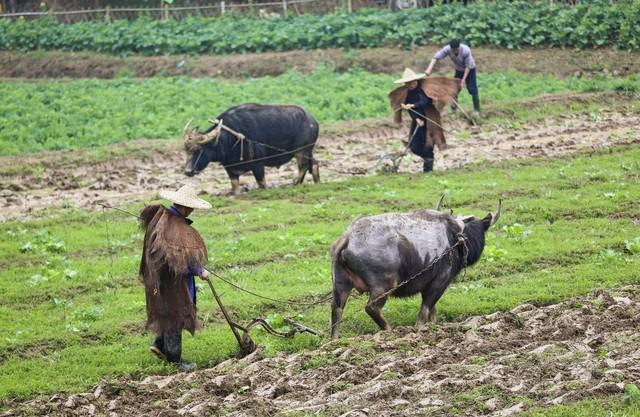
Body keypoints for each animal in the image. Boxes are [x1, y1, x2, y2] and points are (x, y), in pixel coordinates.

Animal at [184, 104, 320, 195]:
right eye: (186, 150)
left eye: (199, 150)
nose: (187, 171)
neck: (231, 139)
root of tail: (313, 121)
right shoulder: (229, 168)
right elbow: (235, 188)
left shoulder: (258, 165)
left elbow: (262, 184)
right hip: (308, 152)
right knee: (313, 164)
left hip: (301, 151)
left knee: (303, 166)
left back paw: (296, 183)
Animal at [330, 197, 500, 336]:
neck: (454, 236)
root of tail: (349, 238)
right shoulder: (439, 283)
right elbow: (425, 311)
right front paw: (420, 328)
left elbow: (432, 312)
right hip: (383, 286)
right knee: (371, 308)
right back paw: (389, 330)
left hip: (341, 285)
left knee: (337, 310)